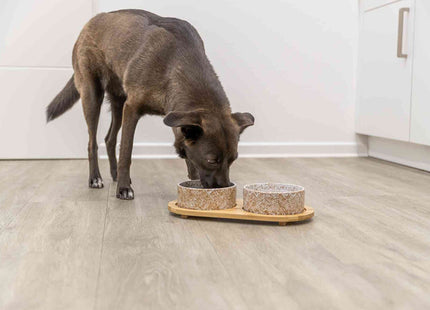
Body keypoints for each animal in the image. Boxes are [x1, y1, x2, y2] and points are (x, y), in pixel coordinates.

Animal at [46, 9, 255, 200]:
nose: (225, 188)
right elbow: (127, 152)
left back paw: (114, 174)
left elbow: (187, 154)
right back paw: (95, 179)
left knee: (109, 139)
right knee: (92, 142)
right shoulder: (132, 109)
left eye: (233, 159)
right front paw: (124, 189)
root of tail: (91, 21)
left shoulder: (174, 116)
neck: (176, 62)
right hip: (92, 95)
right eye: (212, 160)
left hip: (118, 103)